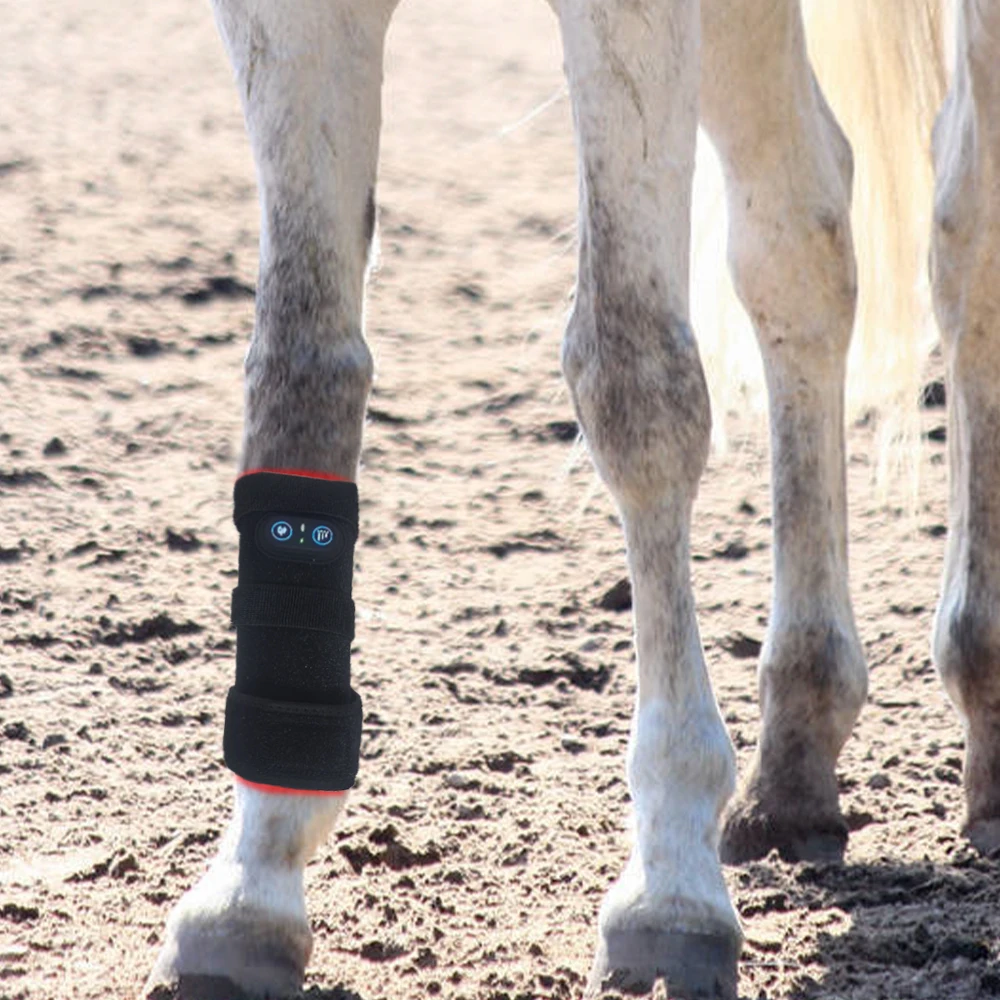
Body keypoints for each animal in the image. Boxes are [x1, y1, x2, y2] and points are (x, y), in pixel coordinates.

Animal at [144, 1, 999, 997]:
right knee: (800, 236)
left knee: (964, 236)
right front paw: (255, 877)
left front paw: (670, 885)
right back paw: (796, 755)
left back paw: (984, 695)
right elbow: (298, 376)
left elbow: (635, 381)